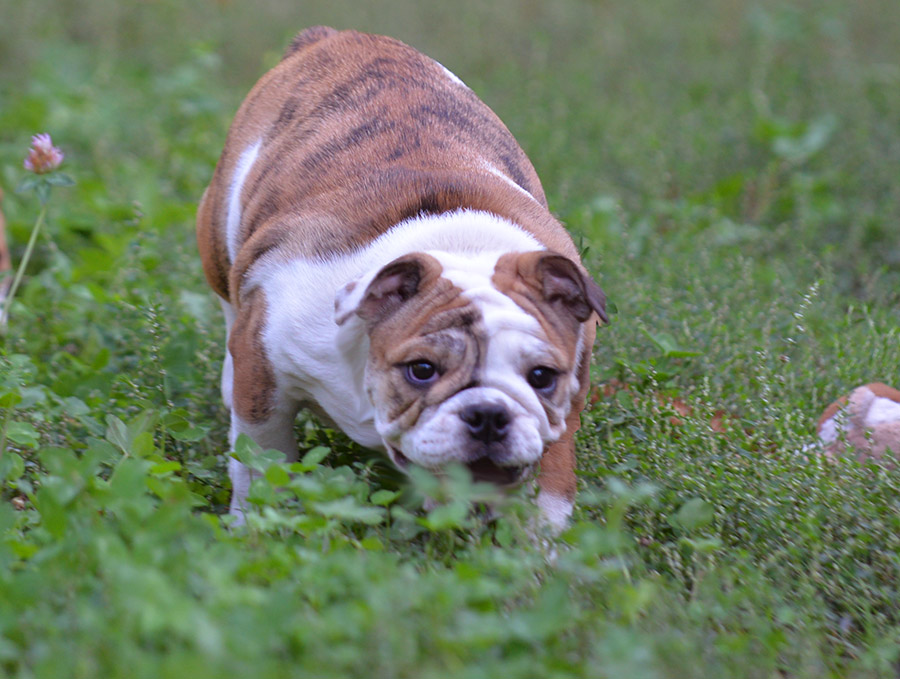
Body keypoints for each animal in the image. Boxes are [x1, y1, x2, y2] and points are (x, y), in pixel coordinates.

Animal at [194, 27, 608, 532]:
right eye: (422, 370)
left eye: (542, 377)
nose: (489, 414)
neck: (461, 250)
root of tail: (338, 36)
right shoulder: (265, 370)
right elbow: (263, 457)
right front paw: (256, 522)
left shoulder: (565, 405)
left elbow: (550, 484)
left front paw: (540, 545)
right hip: (219, 235)